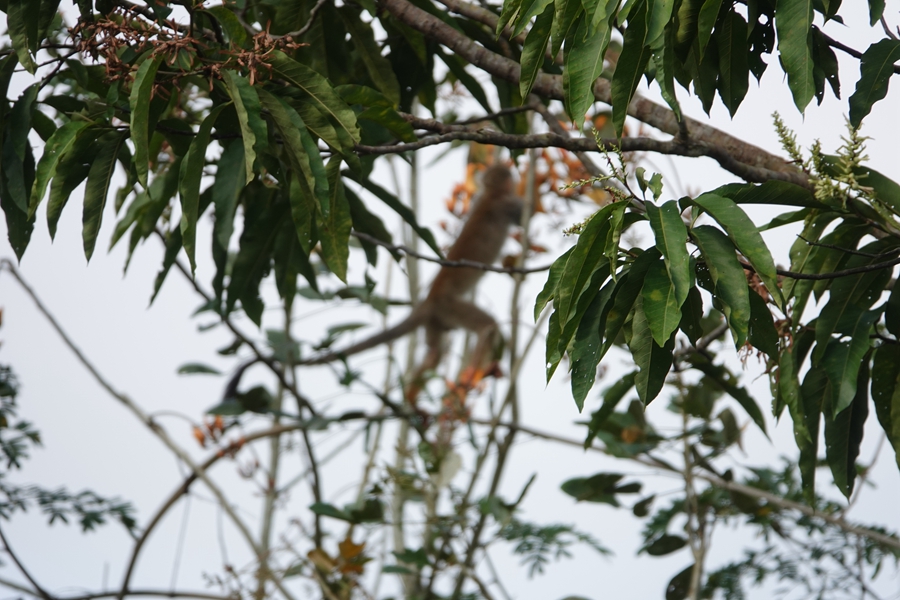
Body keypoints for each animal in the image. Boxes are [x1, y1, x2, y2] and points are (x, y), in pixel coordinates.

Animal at [304, 166, 528, 396]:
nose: (513, 176)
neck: (491, 195)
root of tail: (428, 300)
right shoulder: (507, 205)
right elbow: (523, 216)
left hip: (436, 320)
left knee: (434, 353)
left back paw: (411, 396)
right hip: (449, 307)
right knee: (487, 327)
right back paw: (471, 376)